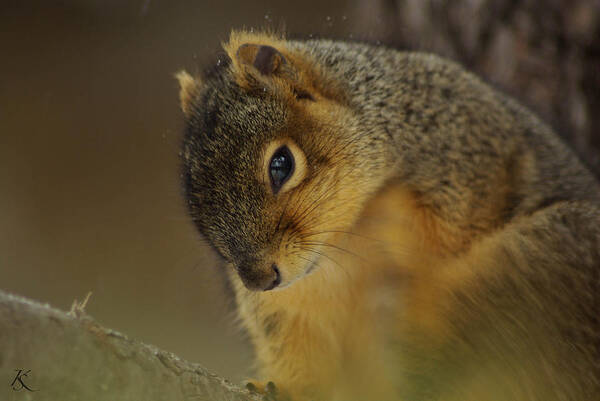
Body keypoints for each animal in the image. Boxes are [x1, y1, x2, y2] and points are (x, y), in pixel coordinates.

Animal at [176, 31, 600, 400]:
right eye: (192, 193)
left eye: (281, 164)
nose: (260, 280)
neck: (346, 243)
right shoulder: (289, 311)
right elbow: (300, 356)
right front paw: (281, 388)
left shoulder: (473, 161)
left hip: (543, 255)